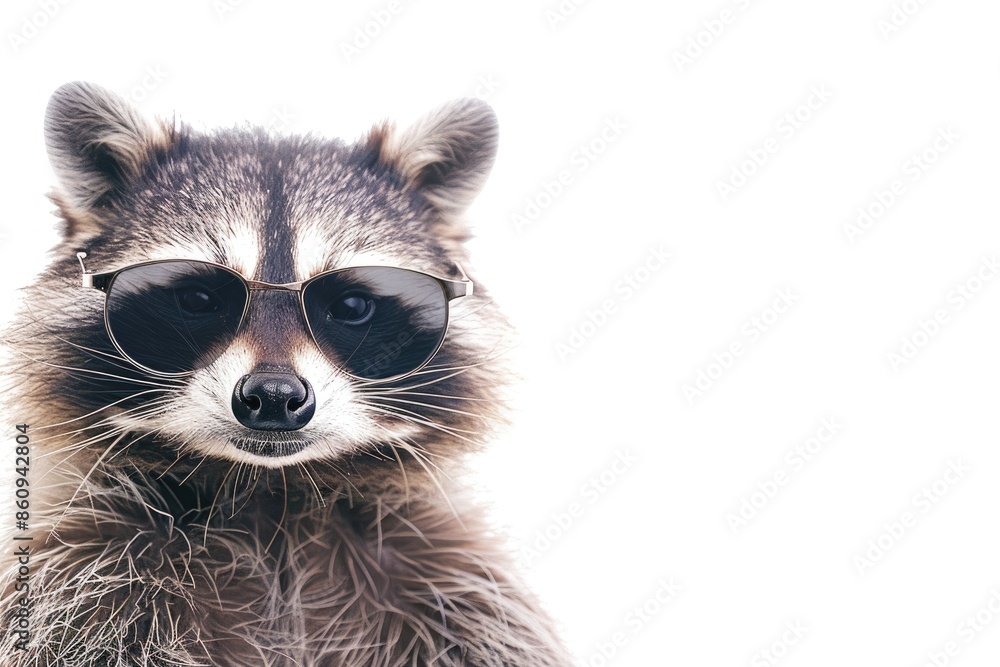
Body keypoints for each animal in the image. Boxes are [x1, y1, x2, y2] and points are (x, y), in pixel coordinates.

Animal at [0, 82, 569, 666]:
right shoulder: (88, 579)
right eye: (199, 299)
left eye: (351, 306)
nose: (273, 396)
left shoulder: (458, 589)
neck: (271, 496)